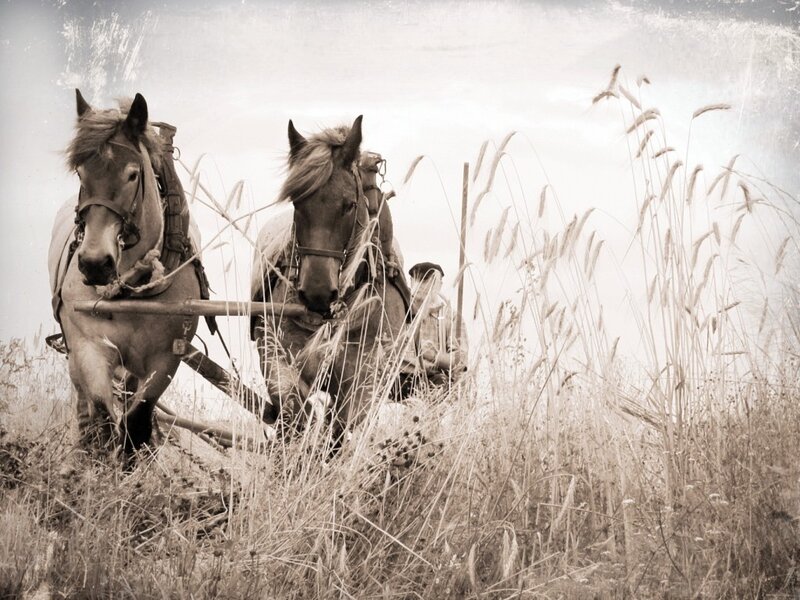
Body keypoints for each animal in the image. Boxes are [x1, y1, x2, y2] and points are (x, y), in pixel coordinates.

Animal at [49, 90, 202, 460]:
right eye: (80, 173)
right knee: (84, 402)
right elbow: (104, 414)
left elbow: (136, 422)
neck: (132, 289)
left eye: (133, 175)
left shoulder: (165, 359)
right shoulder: (88, 345)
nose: (94, 263)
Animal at [251, 116, 409, 446]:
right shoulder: (275, 354)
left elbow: (340, 427)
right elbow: (292, 409)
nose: (317, 293)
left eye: (349, 205)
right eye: (297, 202)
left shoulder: (366, 379)